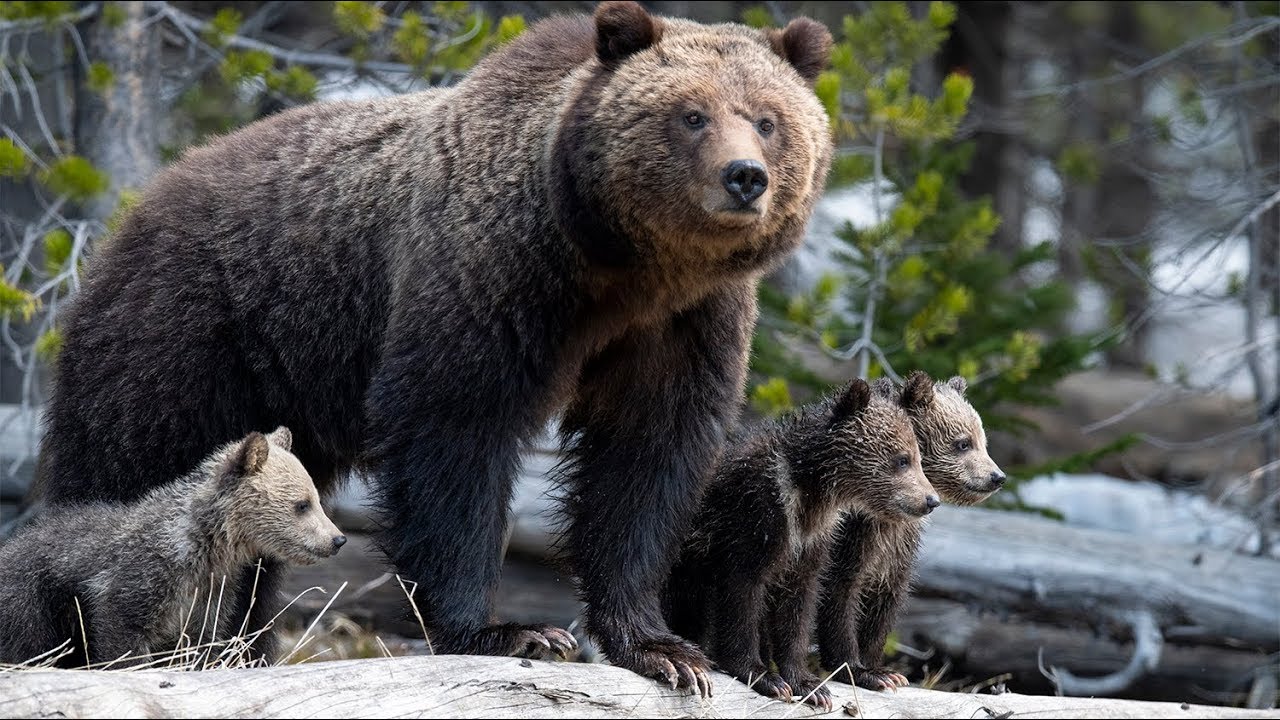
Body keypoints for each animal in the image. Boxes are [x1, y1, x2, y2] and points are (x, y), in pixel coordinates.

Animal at [0, 427, 345, 667]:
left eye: (316, 499)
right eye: (302, 504)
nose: (337, 539)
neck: (202, 547)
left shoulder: (212, 593)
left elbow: (200, 642)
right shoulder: (137, 579)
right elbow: (121, 634)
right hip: (32, 601)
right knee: (29, 643)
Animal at [36, 1, 833, 693]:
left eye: (768, 120)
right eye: (691, 114)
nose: (745, 178)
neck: (619, 270)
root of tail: (128, 219)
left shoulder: (683, 325)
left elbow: (646, 462)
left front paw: (662, 646)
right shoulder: (493, 276)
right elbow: (455, 434)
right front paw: (508, 631)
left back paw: (240, 647)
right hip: (187, 347)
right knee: (129, 477)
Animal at [664, 378, 937, 708]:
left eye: (917, 457)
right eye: (902, 459)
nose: (930, 499)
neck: (809, 492)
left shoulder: (811, 542)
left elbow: (798, 606)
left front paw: (811, 685)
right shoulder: (756, 519)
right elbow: (743, 593)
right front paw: (763, 675)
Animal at [815, 372, 1006, 690]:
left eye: (983, 441)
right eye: (963, 443)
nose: (997, 476)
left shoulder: (897, 542)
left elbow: (886, 596)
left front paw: (884, 669)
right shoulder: (852, 533)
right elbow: (839, 587)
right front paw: (859, 670)